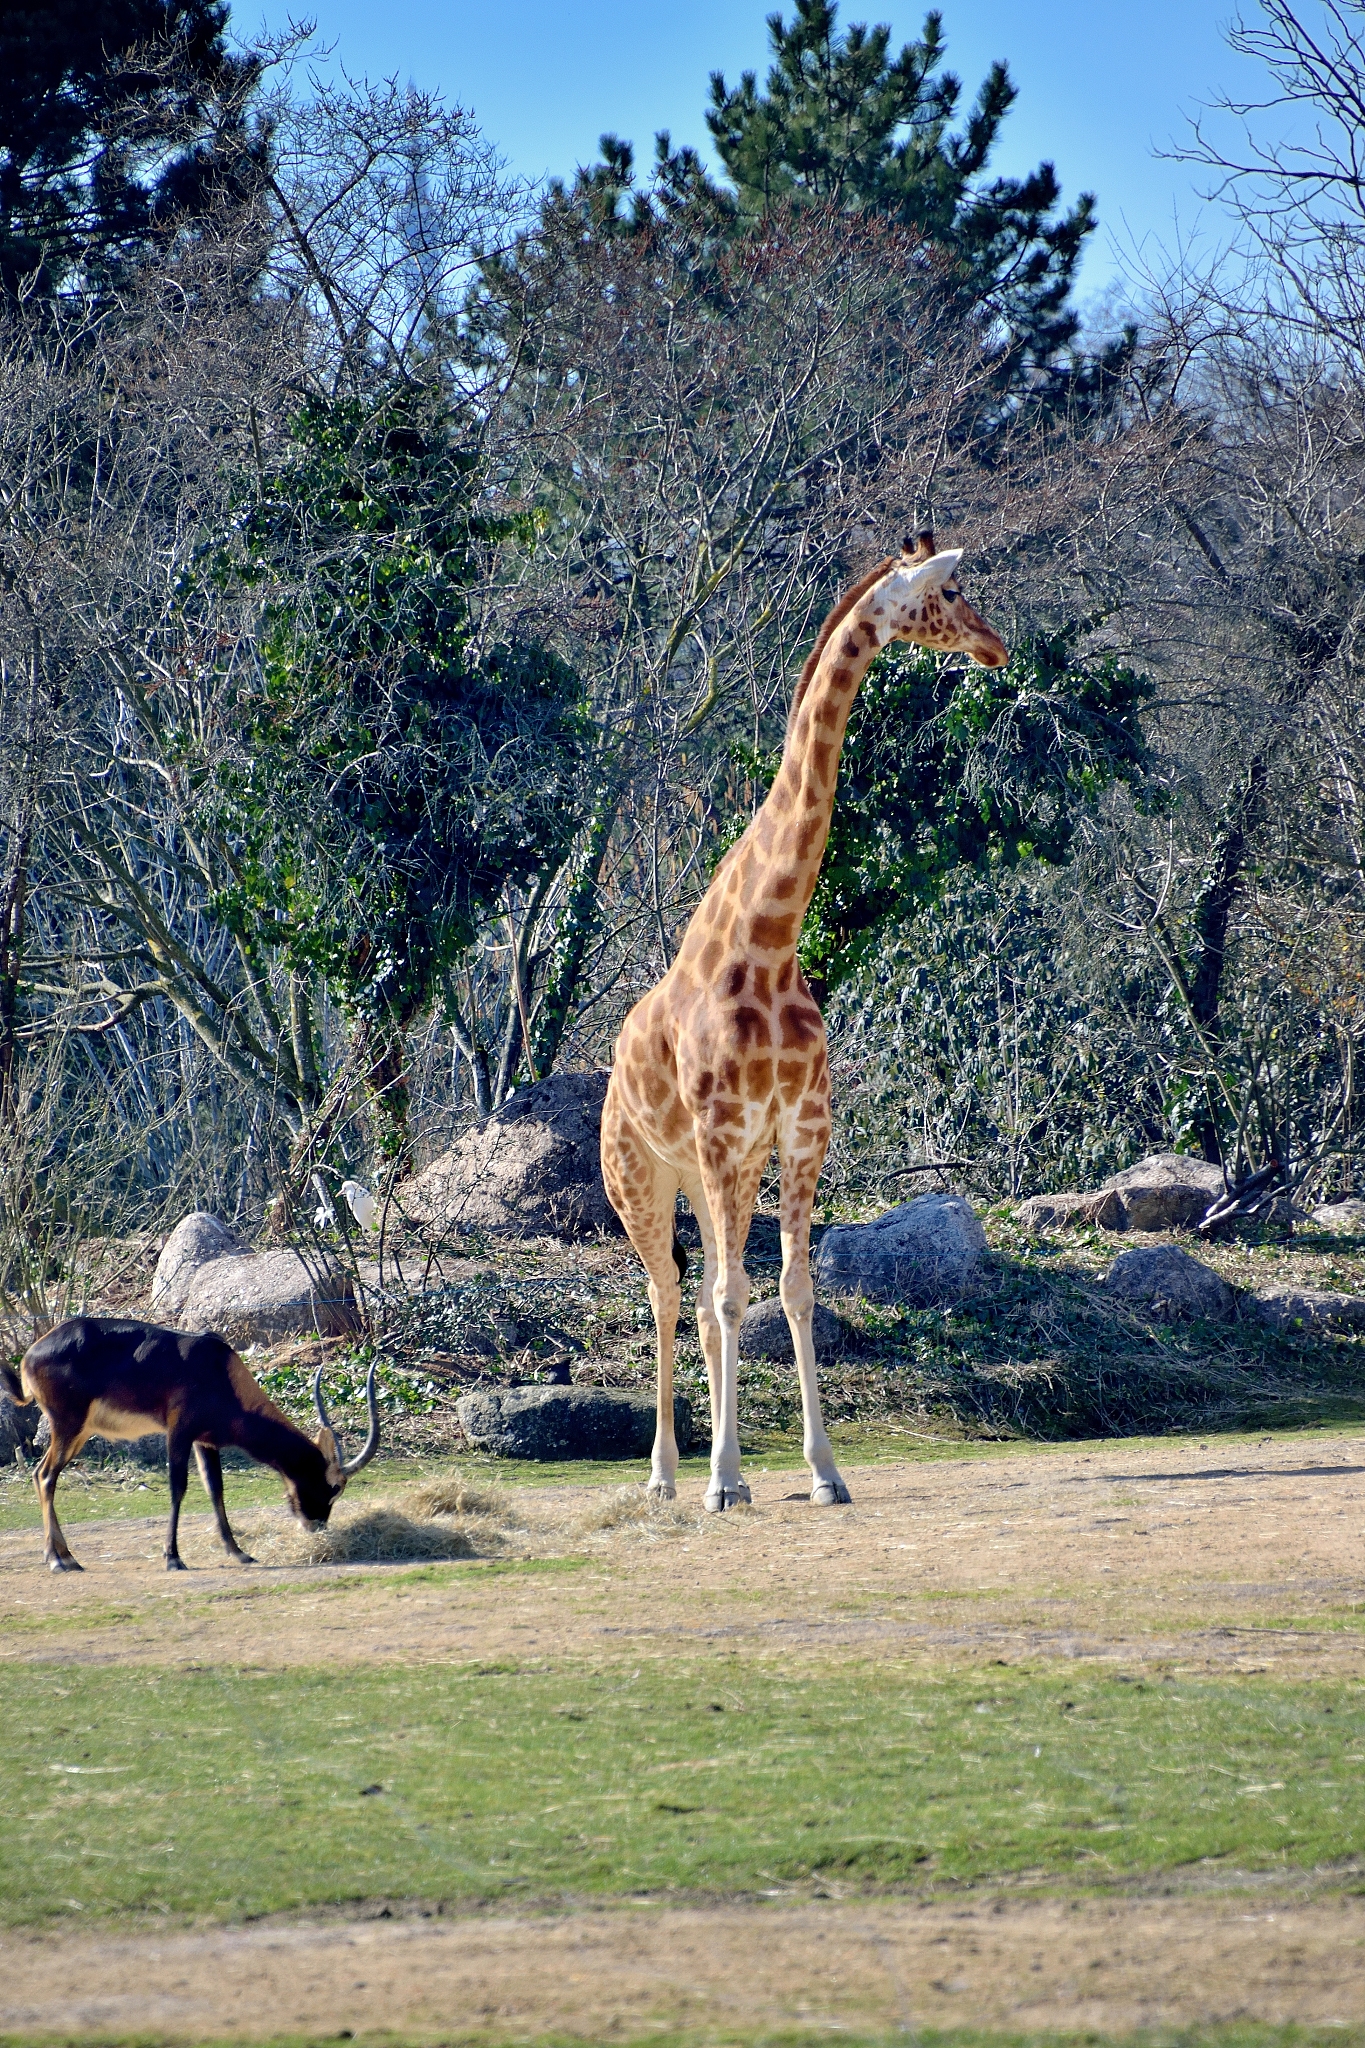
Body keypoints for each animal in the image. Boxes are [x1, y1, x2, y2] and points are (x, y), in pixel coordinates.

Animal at [600, 534, 1009, 1512]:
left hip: (712, 1177)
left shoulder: (797, 1132)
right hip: (642, 1178)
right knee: (668, 1294)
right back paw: (667, 1476)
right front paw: (721, 1480)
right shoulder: (723, 1135)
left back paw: (716, 1470)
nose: (996, 647)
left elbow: (790, 1290)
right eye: (950, 593)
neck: (770, 942)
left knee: (703, 1294)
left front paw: (821, 1472)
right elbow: (729, 1298)